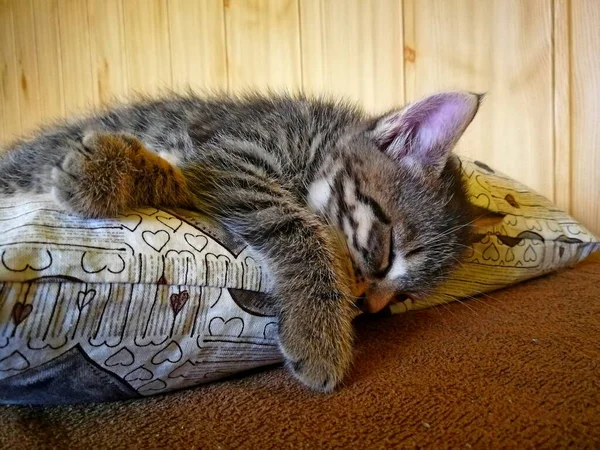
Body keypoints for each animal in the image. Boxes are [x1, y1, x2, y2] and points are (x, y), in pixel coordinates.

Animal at [0, 90, 478, 390]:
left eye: (403, 297)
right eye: (384, 255)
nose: (370, 307)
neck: (315, 142)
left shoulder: (213, 168)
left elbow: (182, 182)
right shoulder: (231, 155)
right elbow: (296, 226)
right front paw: (319, 333)